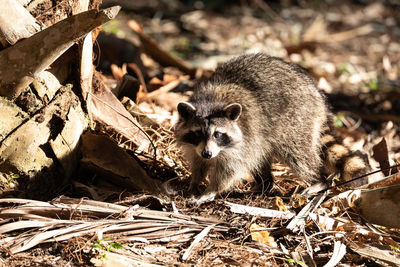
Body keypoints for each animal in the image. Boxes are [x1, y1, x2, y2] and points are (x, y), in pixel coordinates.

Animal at [175, 54, 368, 205]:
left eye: (218, 134)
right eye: (197, 133)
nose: (207, 154)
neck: (211, 101)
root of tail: (318, 95)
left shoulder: (243, 142)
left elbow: (230, 171)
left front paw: (211, 190)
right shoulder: (196, 147)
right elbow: (198, 163)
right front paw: (194, 182)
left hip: (296, 122)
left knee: (299, 156)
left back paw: (318, 180)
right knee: (261, 157)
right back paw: (265, 184)